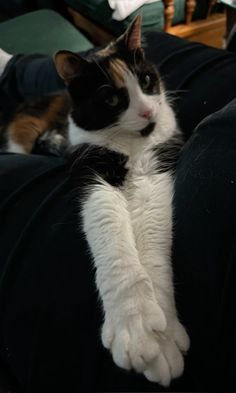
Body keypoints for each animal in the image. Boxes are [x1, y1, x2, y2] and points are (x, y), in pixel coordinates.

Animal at [0, 16, 190, 384]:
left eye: (146, 80)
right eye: (112, 100)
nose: (147, 112)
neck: (131, 141)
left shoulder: (155, 169)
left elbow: (154, 242)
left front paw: (163, 337)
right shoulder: (91, 172)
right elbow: (113, 240)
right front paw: (137, 331)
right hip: (21, 135)